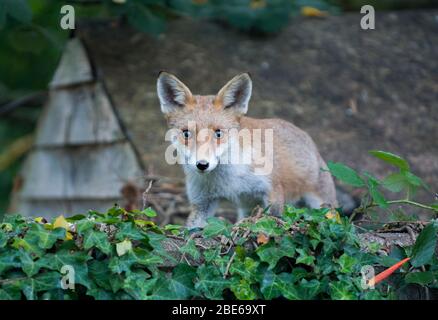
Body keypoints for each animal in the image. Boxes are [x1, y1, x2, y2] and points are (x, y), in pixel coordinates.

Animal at [157, 71, 338, 229]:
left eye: (218, 133)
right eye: (186, 133)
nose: (202, 165)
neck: (228, 180)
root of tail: (308, 138)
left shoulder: (272, 191)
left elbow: (272, 220)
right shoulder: (202, 202)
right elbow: (192, 230)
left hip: (323, 205)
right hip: (246, 209)